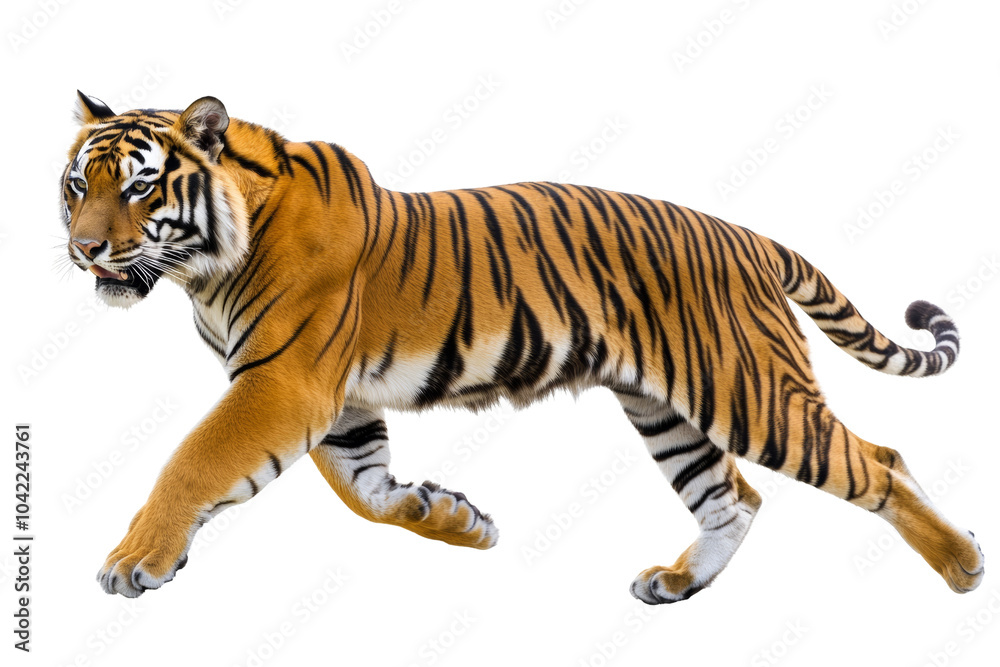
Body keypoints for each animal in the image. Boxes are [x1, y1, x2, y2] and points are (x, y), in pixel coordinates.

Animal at [61, 91, 983, 602]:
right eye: (77, 184)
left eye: (139, 187)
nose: (85, 249)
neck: (205, 268)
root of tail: (748, 235)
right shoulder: (336, 401)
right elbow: (363, 490)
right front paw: (451, 518)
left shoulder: (281, 384)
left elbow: (195, 461)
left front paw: (134, 560)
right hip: (668, 409)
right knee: (736, 498)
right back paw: (679, 583)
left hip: (748, 391)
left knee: (879, 461)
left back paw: (965, 563)